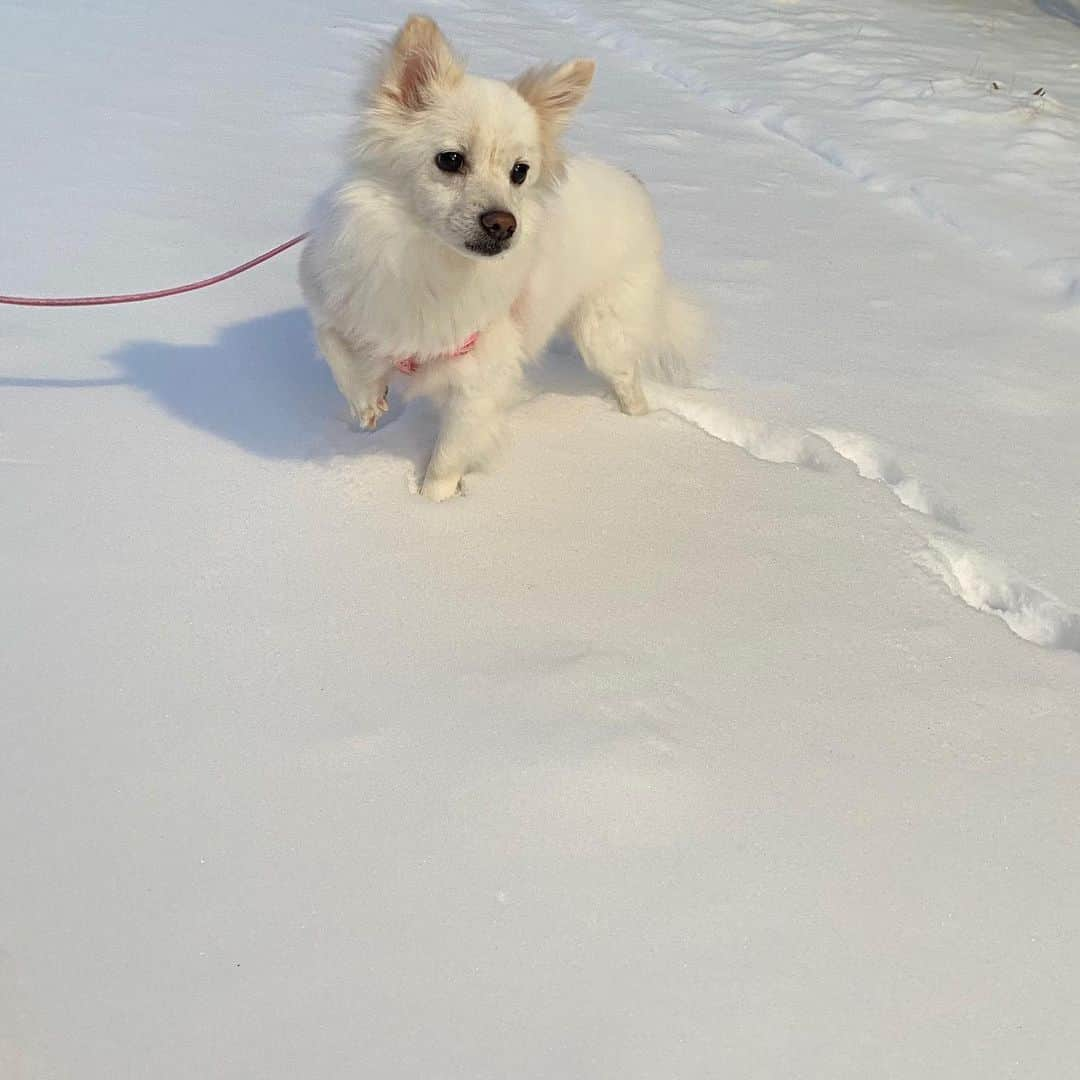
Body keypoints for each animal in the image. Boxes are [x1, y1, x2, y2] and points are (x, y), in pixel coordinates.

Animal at [300, 16, 704, 496]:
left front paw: (428, 508)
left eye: (520, 172)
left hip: (604, 333)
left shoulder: (479, 384)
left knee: (628, 381)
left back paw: (634, 426)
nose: (503, 224)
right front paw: (367, 401)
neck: (428, 260)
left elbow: (445, 462)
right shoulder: (342, 302)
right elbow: (333, 344)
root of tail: (632, 182)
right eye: (450, 160)